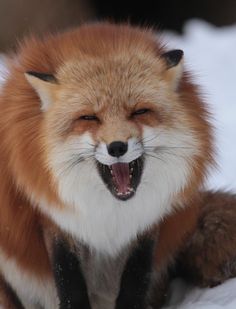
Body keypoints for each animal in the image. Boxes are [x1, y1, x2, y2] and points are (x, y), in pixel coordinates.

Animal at [0, 22, 234, 308]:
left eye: (140, 112)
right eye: (89, 117)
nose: (117, 147)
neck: (111, 214)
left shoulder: (148, 220)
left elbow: (136, 277)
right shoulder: (56, 222)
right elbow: (69, 280)